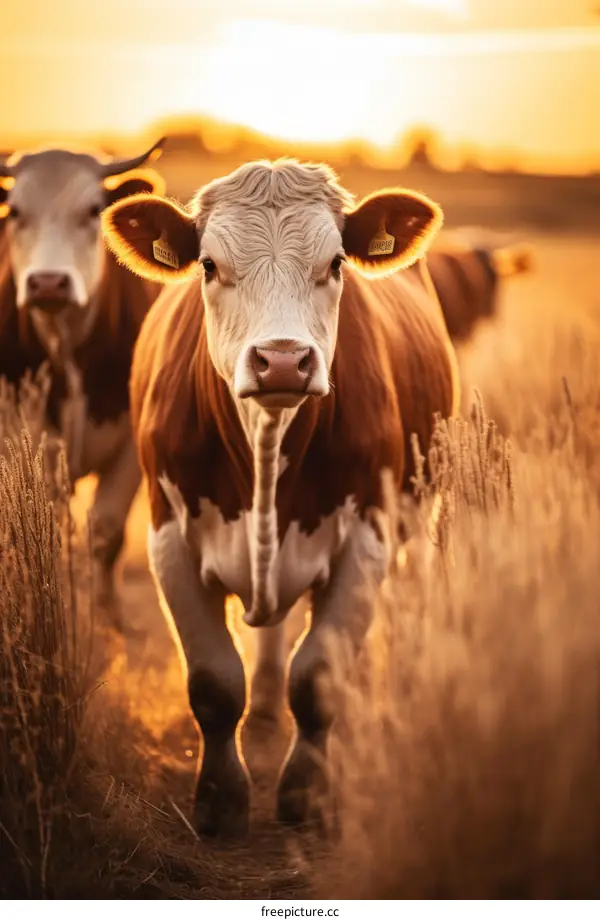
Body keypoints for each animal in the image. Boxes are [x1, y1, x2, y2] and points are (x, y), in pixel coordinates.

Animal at [0, 139, 166, 632]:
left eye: (93, 210)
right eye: (16, 211)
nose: (48, 283)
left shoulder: (132, 446)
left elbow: (105, 531)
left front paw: (105, 616)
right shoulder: (26, 439)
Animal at [101, 158, 460, 837]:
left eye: (336, 263)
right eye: (208, 265)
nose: (284, 361)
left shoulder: (368, 540)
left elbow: (317, 678)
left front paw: (306, 794)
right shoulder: (167, 537)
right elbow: (214, 683)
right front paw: (220, 800)